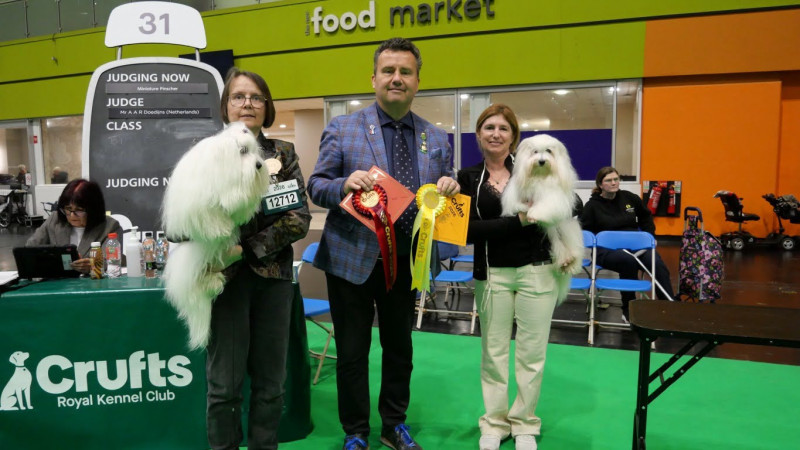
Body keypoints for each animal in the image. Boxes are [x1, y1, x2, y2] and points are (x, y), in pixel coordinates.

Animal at [162, 122, 272, 350]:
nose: (259, 165)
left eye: (254, 151)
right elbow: (211, 214)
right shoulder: (199, 201)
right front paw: (221, 227)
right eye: (243, 151)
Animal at [501, 134, 584, 302]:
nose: (541, 161)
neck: (540, 176)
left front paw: (534, 214)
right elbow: (516, 203)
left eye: (548, 151)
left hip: (567, 228)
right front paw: (524, 210)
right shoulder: (517, 193)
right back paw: (564, 261)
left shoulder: (554, 197)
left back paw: (571, 261)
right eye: (534, 152)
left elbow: (545, 206)